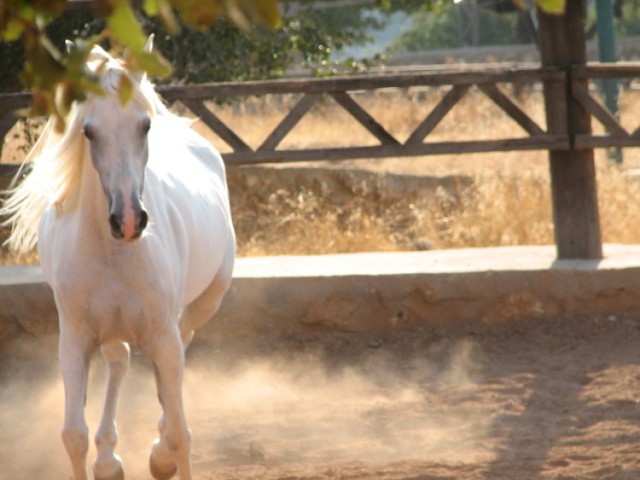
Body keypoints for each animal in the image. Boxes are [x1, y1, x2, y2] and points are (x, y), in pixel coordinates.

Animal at [0, 42, 235, 480]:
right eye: (88, 131)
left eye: (144, 126)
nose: (128, 220)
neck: (116, 254)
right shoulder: (74, 338)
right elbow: (73, 434)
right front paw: (103, 456)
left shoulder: (163, 334)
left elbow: (181, 433)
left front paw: (165, 453)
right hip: (111, 328)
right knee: (120, 361)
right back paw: (109, 459)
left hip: (203, 305)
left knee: (179, 353)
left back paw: (156, 449)